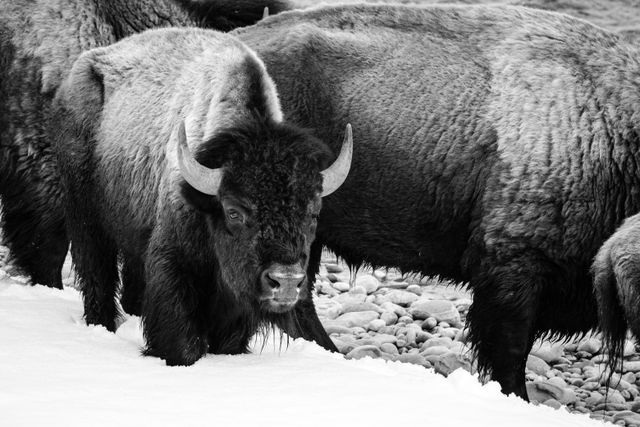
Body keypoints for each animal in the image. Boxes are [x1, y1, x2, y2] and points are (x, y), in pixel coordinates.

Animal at [50, 28, 352, 364]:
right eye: (234, 212)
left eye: (313, 214)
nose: (285, 281)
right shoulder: (174, 264)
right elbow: (182, 342)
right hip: (85, 218)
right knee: (96, 275)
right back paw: (101, 324)